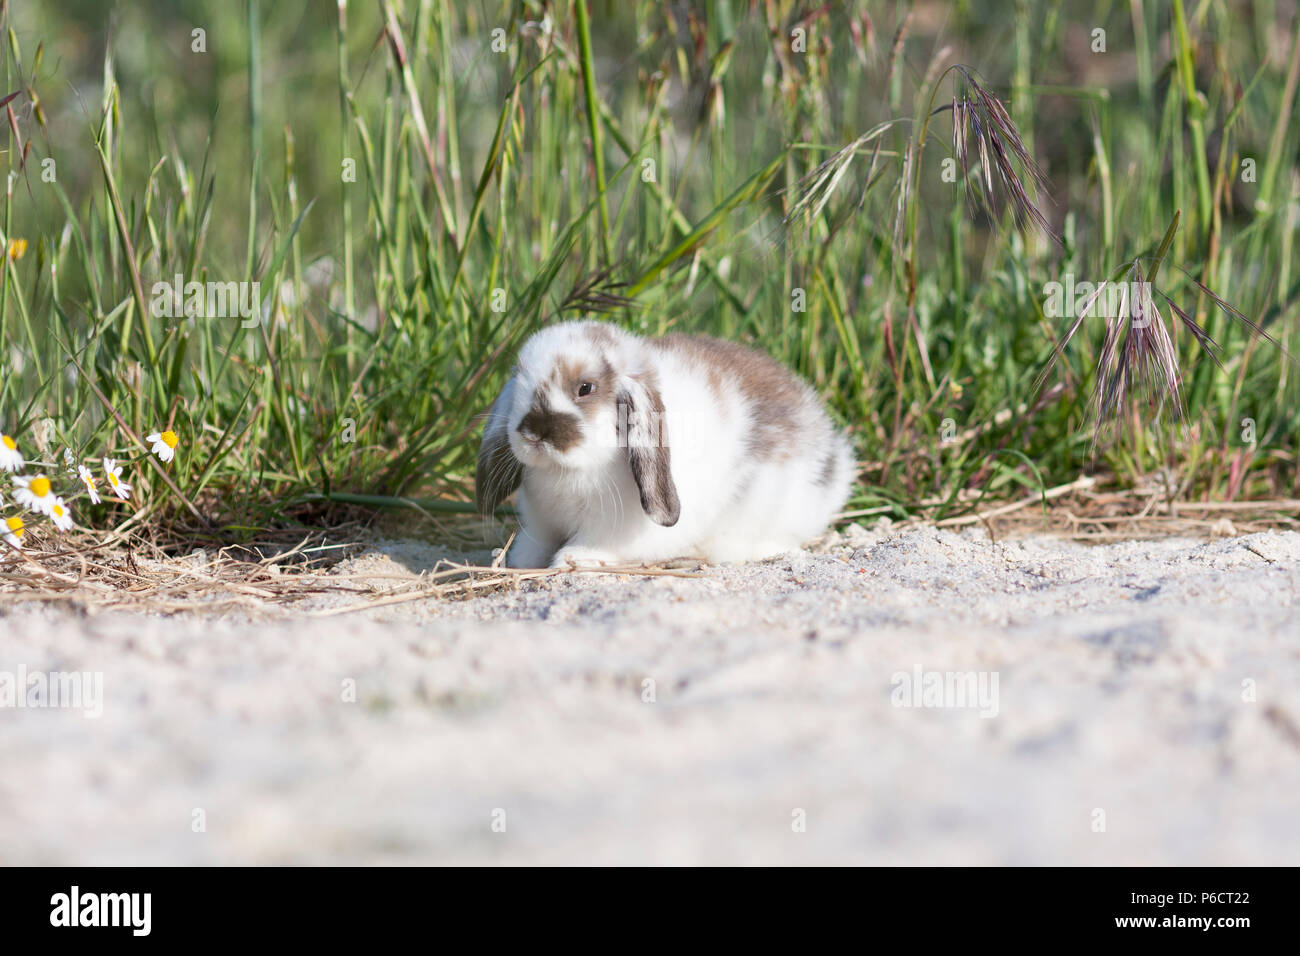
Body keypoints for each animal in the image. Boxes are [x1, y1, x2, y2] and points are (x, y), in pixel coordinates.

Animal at [476, 320, 855, 568]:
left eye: (585, 388)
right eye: (519, 379)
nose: (534, 432)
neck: (568, 471)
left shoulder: (608, 530)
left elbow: (590, 546)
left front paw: (571, 560)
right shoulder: (542, 524)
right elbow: (533, 546)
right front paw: (518, 561)